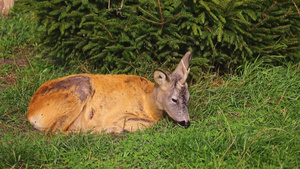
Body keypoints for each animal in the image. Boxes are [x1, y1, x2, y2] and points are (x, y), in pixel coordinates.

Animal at [27, 51, 192, 133]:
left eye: (188, 98)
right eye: (174, 99)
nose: (186, 122)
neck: (148, 103)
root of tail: (31, 114)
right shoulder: (119, 115)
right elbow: (150, 124)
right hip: (80, 90)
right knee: (55, 132)